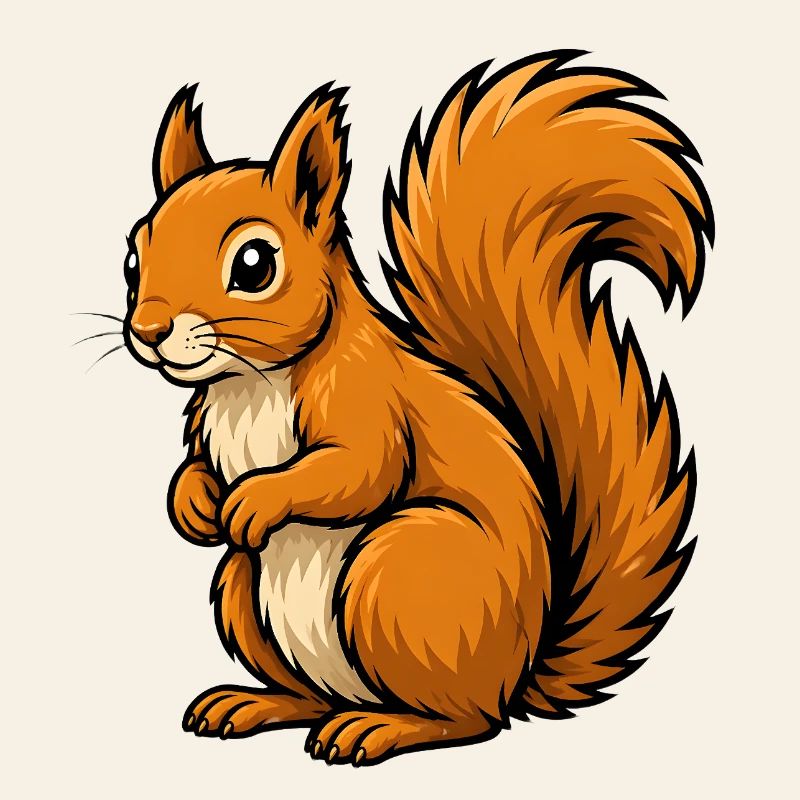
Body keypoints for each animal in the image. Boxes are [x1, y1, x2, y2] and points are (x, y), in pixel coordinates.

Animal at [121, 51, 712, 766]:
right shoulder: (207, 423)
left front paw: (255, 499)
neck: (249, 384)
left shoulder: (367, 396)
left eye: (255, 264)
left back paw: (379, 728)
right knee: (313, 693)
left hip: (399, 572)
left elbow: (359, 471)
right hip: (244, 589)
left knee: (468, 721)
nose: (148, 331)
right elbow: (194, 472)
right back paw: (255, 703)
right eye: (133, 257)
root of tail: (517, 674)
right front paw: (196, 504)